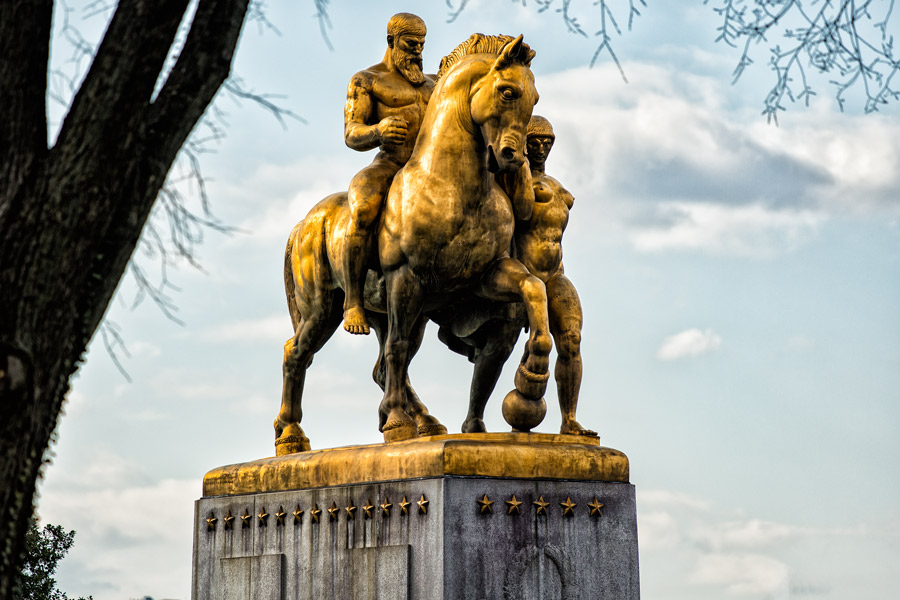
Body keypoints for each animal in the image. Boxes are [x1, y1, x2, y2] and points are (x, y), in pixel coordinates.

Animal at [276, 35, 548, 452]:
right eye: (507, 91)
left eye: (534, 98)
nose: (512, 158)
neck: (451, 188)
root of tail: (304, 224)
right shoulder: (405, 278)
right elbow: (398, 350)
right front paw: (395, 423)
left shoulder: (488, 274)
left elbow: (534, 288)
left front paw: (535, 370)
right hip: (324, 307)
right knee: (297, 353)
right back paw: (291, 436)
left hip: (398, 311)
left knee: (380, 369)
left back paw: (426, 421)